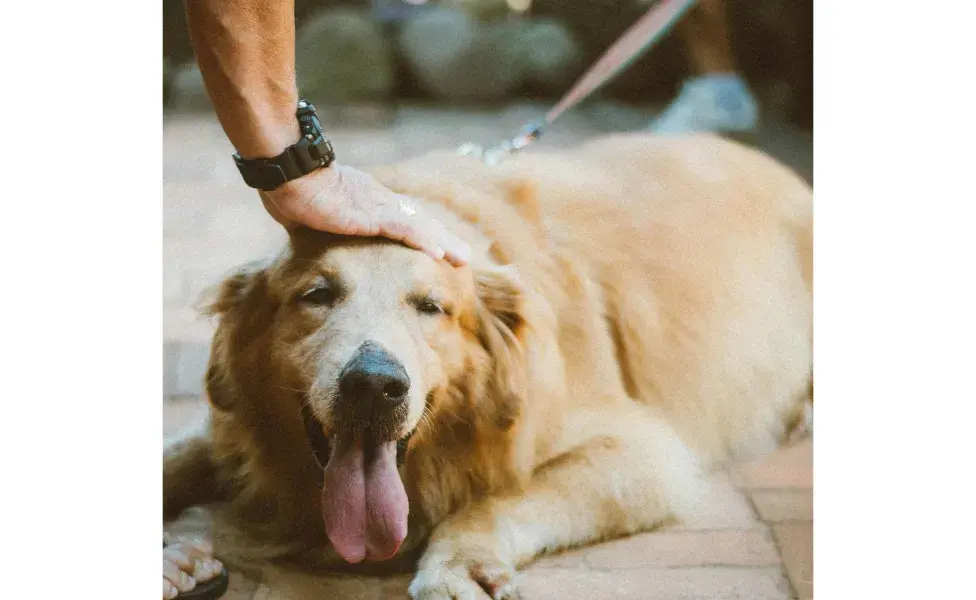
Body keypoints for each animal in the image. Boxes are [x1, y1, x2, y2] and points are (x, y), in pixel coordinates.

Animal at [164, 134, 812, 596]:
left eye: (431, 307)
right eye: (318, 295)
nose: (374, 386)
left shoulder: (643, 452)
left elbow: (501, 498)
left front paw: (461, 561)